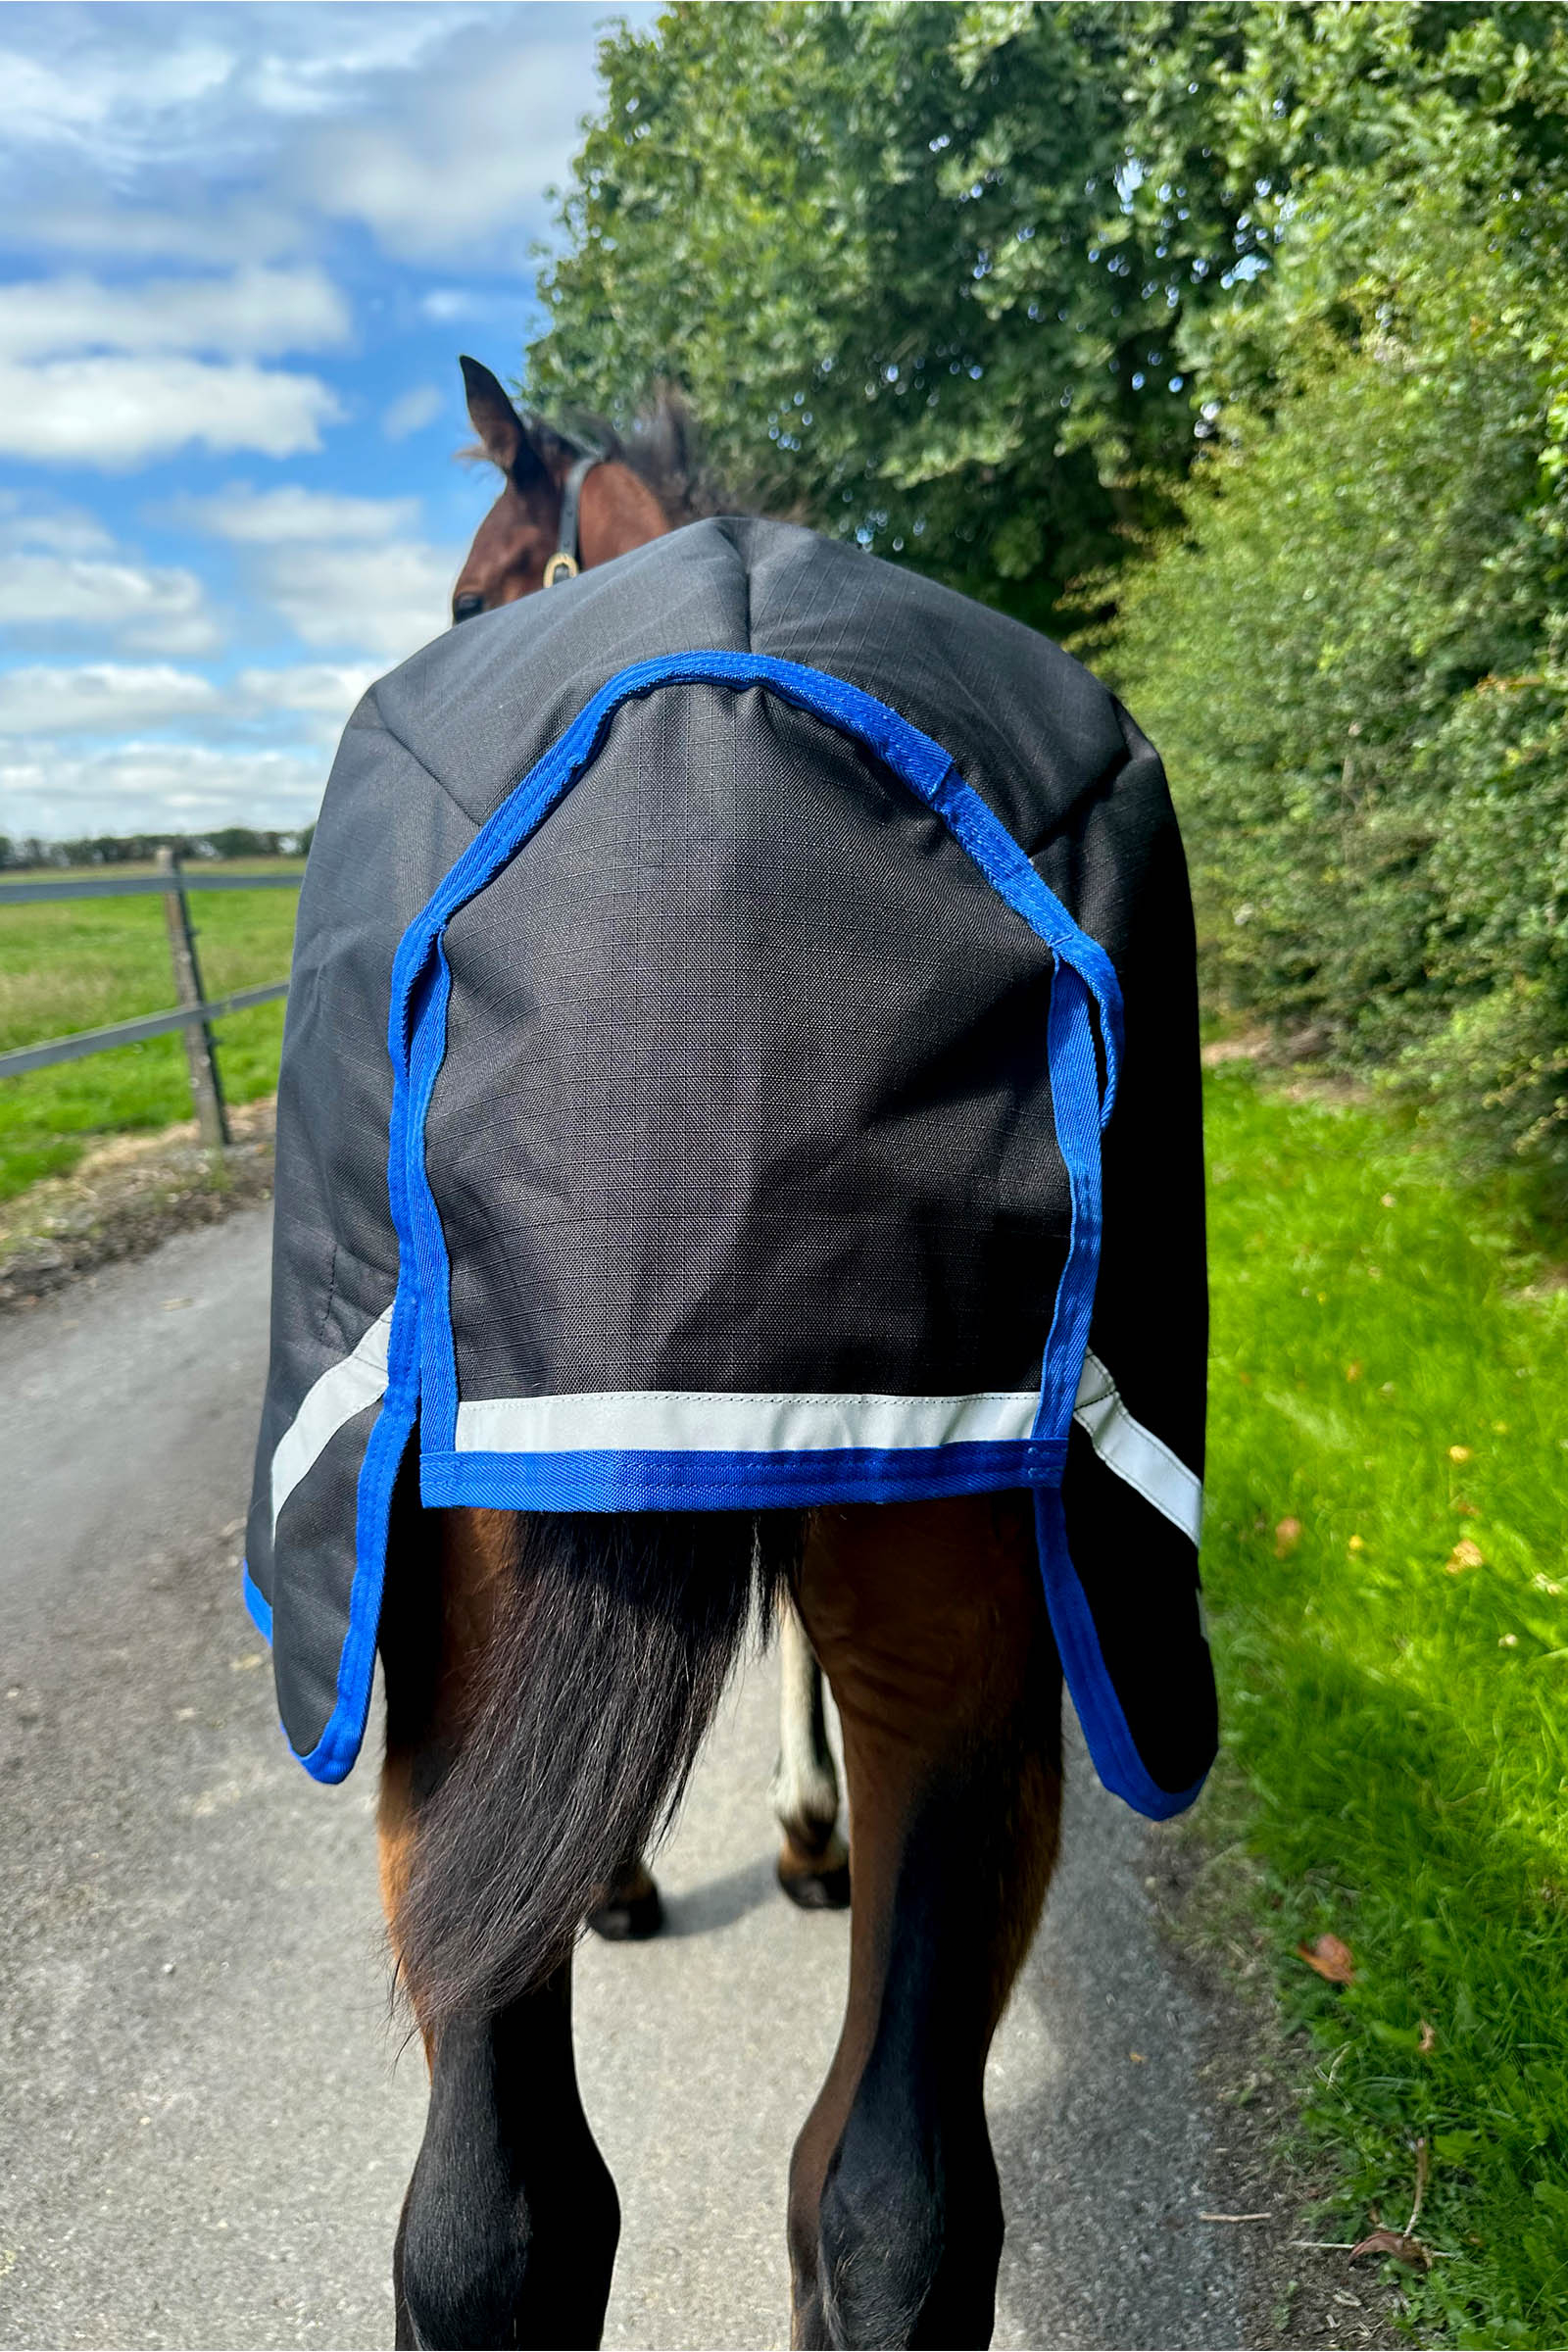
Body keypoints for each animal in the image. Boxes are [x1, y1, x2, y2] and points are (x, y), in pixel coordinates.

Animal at [250, 353, 1214, 2348]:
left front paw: (713, 1853)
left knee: (548, 2215)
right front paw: (794, 1829)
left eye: (472, 586)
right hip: (964, 1663)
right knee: (878, 2208)